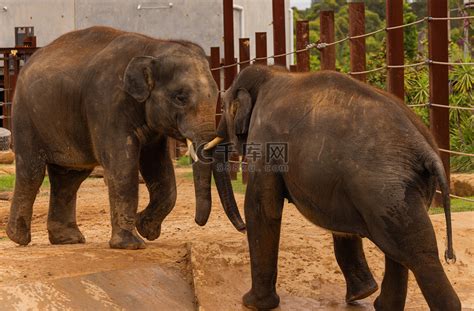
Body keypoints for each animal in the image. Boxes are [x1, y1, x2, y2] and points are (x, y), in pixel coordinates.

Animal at [6, 26, 244, 251]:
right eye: (180, 97)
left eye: (215, 95)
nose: (243, 228)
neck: (153, 47)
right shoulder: (107, 104)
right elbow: (123, 165)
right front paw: (132, 244)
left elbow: (158, 167)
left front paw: (146, 229)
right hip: (25, 117)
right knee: (32, 171)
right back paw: (19, 238)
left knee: (70, 178)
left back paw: (68, 240)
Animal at [220, 64, 462, 310]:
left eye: (223, 108)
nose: (241, 227)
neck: (272, 73)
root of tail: (425, 148)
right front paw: (360, 294)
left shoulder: (265, 141)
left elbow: (262, 209)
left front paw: (251, 304)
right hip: (398, 189)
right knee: (398, 249)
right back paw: (382, 305)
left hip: (384, 190)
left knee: (418, 253)